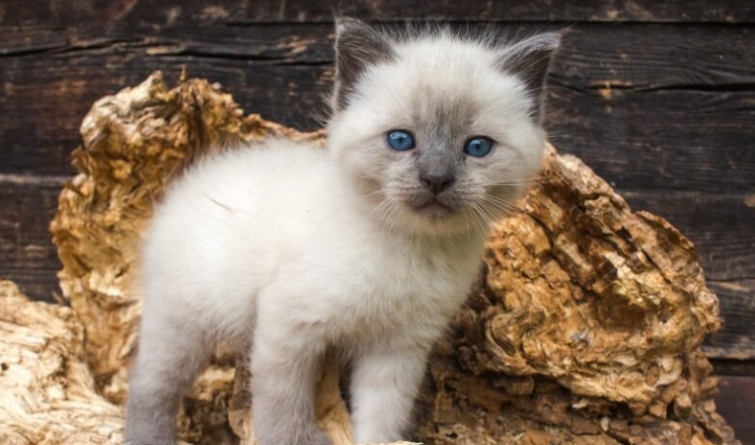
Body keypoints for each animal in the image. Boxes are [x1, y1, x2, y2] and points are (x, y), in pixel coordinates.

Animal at [125, 17, 560, 444]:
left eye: (478, 147)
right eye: (400, 140)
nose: (436, 179)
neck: (410, 247)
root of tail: (188, 182)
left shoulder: (398, 350)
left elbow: (382, 418)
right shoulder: (288, 323)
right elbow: (281, 405)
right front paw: (298, 437)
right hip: (184, 321)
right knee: (148, 388)